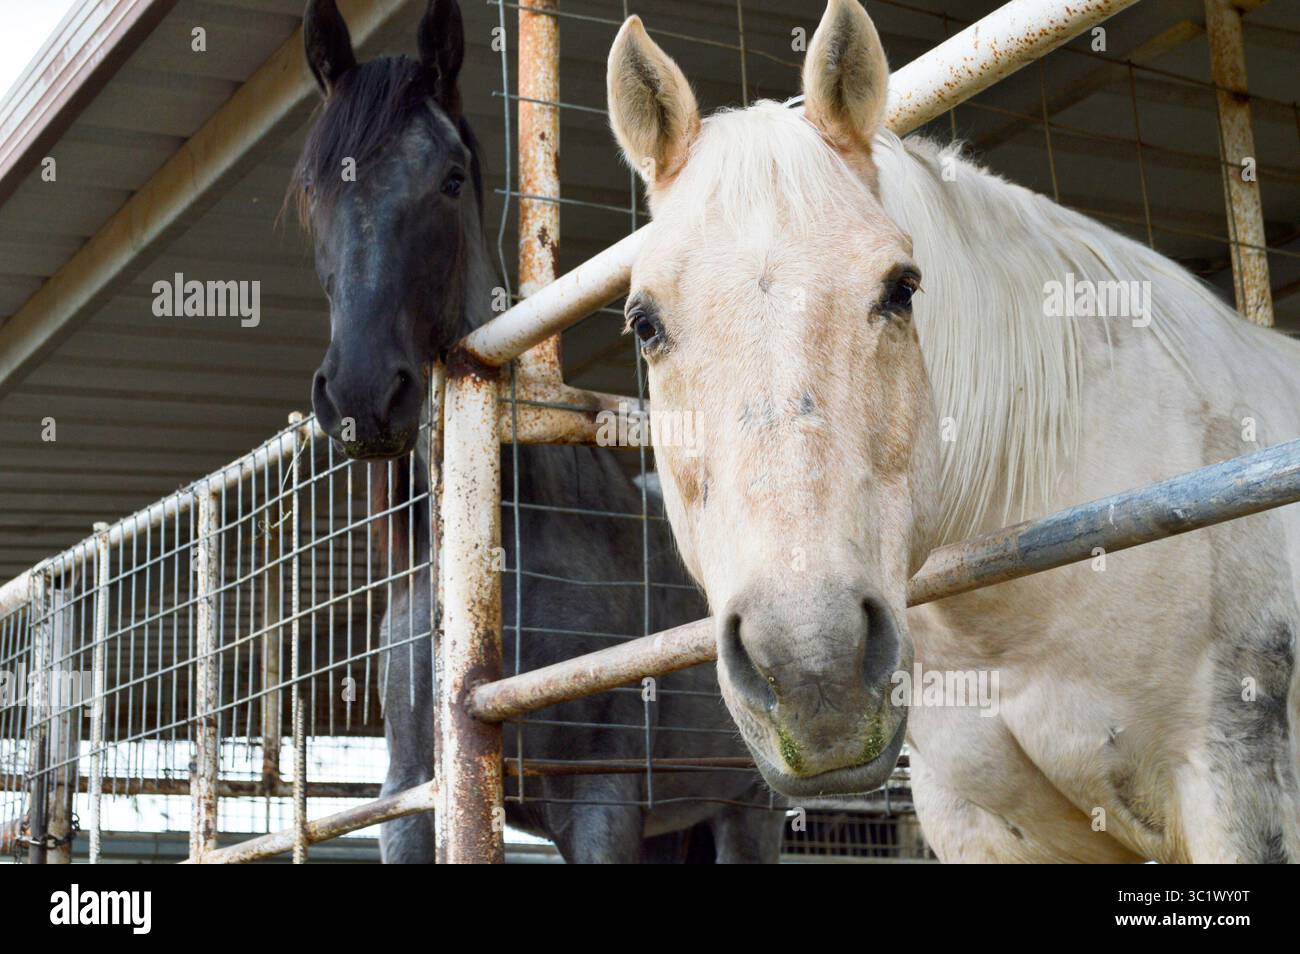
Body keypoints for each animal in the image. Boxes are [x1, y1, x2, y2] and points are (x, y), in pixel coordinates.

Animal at [291, 0, 783, 863]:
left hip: (747, 806)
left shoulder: (600, 806)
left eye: (450, 180)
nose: (362, 394)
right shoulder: (414, 798)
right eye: (317, 187)